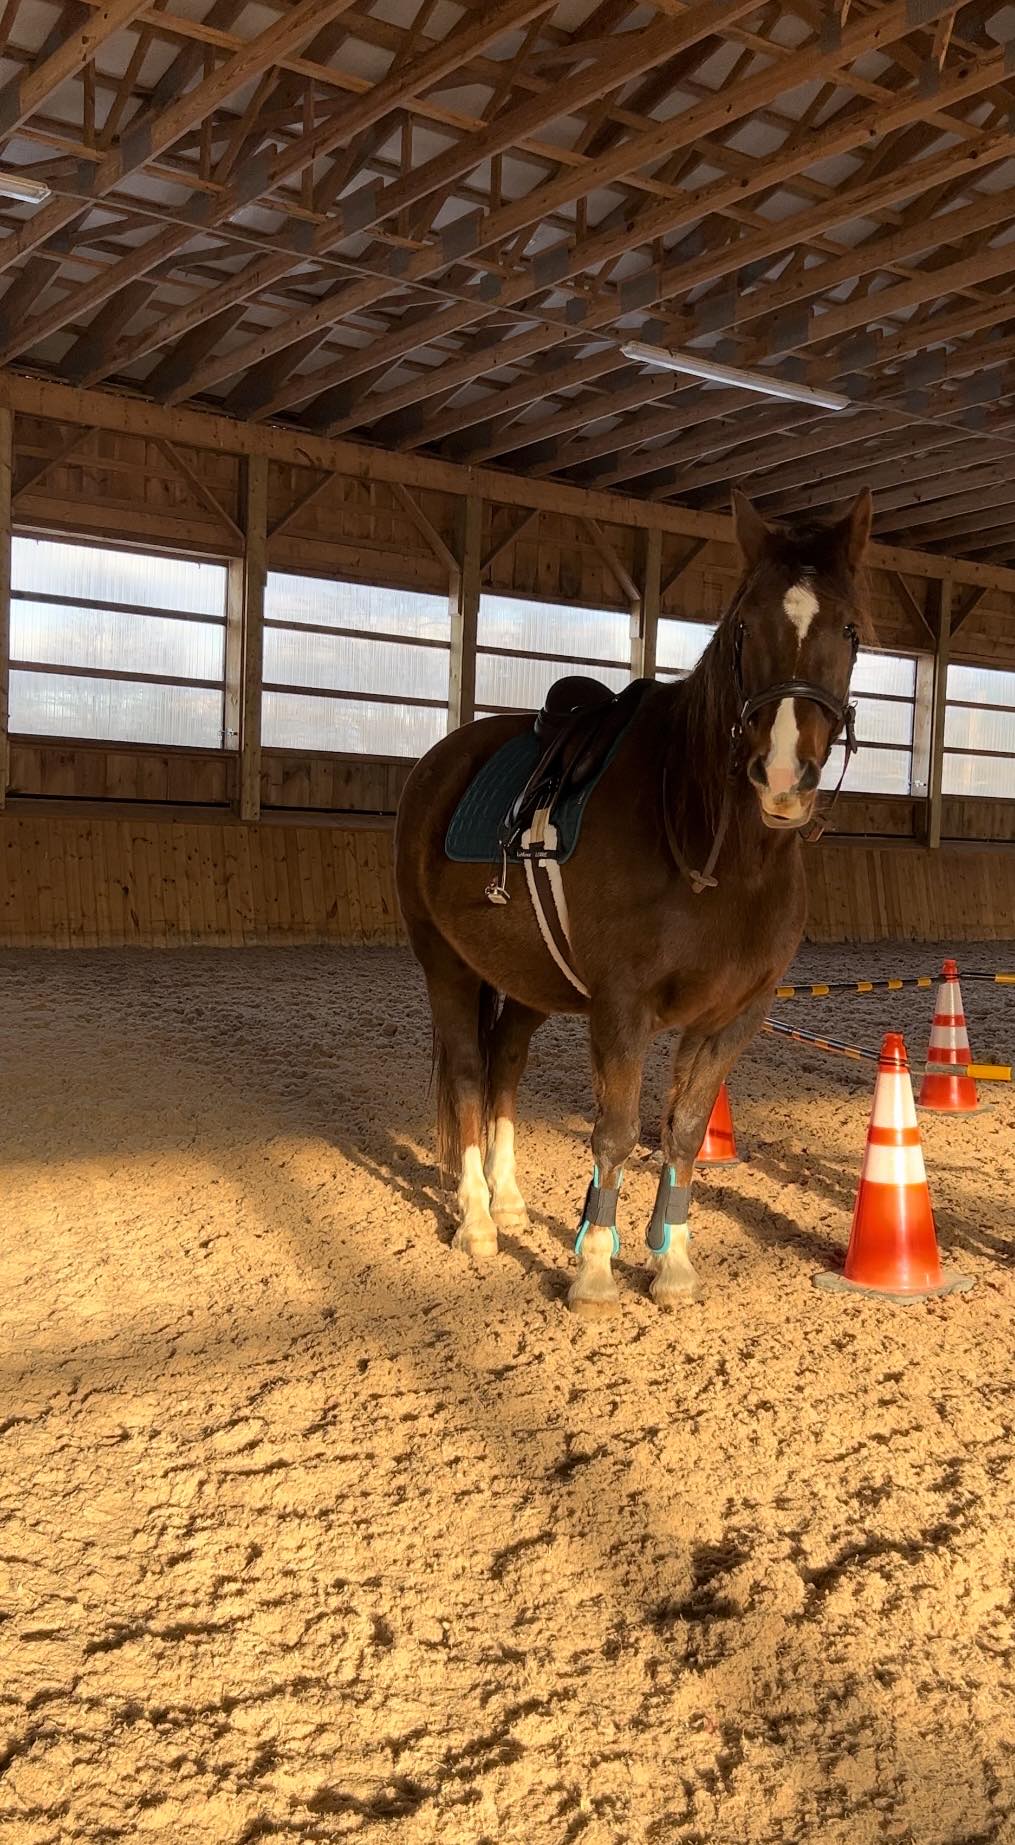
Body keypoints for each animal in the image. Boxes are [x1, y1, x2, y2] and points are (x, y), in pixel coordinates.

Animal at [395, 488, 872, 1318]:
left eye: (847, 628)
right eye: (745, 624)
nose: (781, 774)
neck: (712, 849)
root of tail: (438, 762)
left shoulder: (733, 1017)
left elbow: (680, 1131)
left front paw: (671, 1262)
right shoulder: (621, 1008)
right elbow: (615, 1131)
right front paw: (592, 1269)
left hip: (529, 982)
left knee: (505, 1064)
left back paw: (509, 1200)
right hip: (445, 965)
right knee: (466, 1074)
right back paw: (478, 1220)